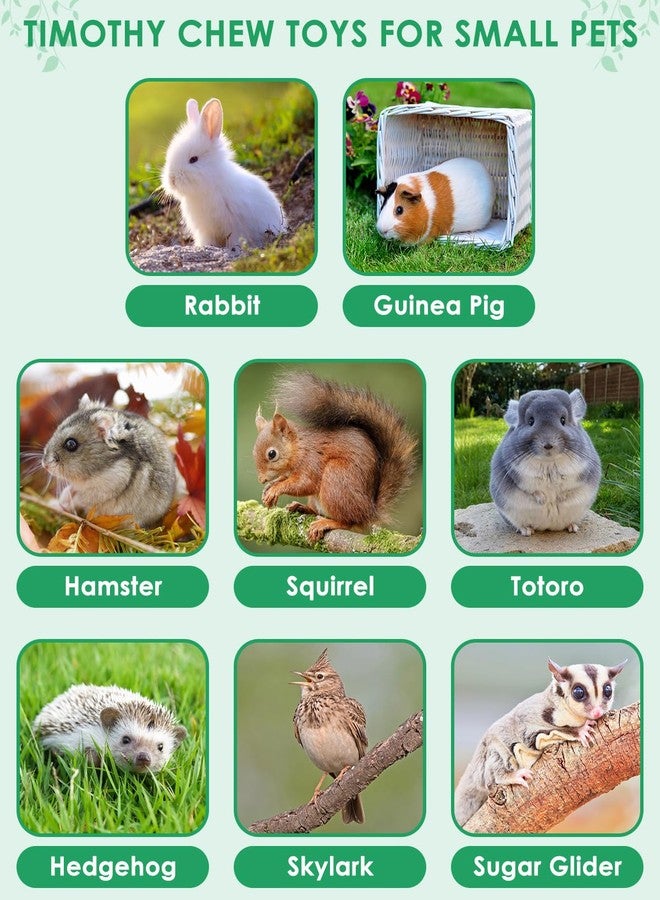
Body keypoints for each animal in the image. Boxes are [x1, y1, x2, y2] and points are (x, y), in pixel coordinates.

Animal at [42, 395, 176, 527]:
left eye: (71, 444)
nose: (45, 464)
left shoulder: (104, 489)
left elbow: (80, 498)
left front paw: (64, 502)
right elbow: (71, 489)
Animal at [161, 97, 287, 249]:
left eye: (193, 159)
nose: (171, 179)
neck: (207, 188)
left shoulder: (235, 225)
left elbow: (235, 238)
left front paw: (234, 249)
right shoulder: (205, 231)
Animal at [454, 659, 627, 827]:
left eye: (608, 691)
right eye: (578, 693)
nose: (597, 712)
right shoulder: (532, 719)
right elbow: (542, 734)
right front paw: (580, 731)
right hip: (490, 757)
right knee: (497, 762)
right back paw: (511, 775)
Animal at [489, 389, 601, 535]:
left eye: (563, 420)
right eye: (530, 421)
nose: (548, 445)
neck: (549, 462)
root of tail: (548, 527)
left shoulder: (580, 472)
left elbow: (568, 488)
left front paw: (559, 498)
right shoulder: (520, 475)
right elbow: (533, 490)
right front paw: (543, 500)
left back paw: (573, 527)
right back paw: (527, 531)